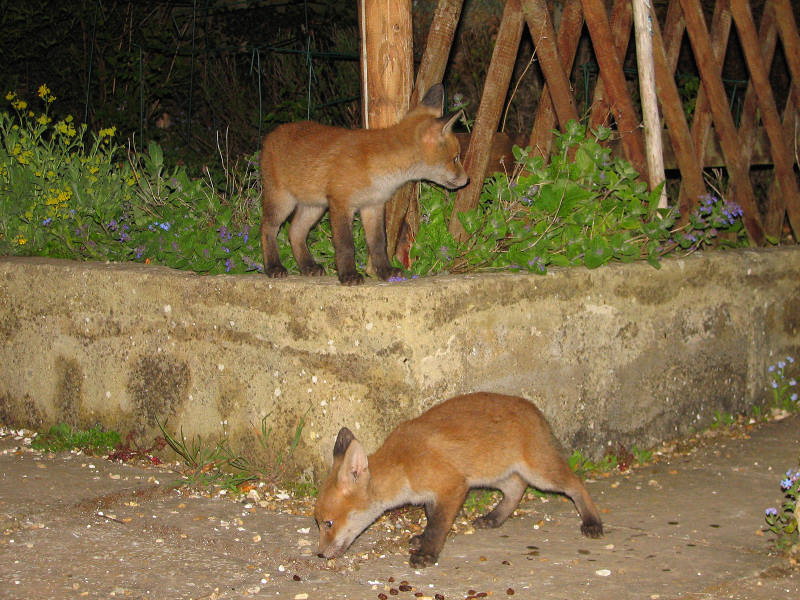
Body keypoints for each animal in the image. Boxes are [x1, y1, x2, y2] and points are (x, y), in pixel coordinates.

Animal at [259, 83, 469, 285]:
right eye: (456, 158)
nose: (467, 180)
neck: (381, 171)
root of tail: (273, 132)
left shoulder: (373, 205)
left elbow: (378, 243)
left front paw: (385, 272)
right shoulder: (341, 204)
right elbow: (345, 245)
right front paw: (348, 275)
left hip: (314, 207)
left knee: (294, 231)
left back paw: (307, 266)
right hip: (282, 202)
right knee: (267, 228)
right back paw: (273, 267)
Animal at [314, 392, 604, 568]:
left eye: (328, 523)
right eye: (318, 523)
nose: (320, 554)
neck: (404, 465)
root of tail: (533, 408)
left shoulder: (453, 486)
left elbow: (438, 525)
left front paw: (427, 553)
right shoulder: (434, 494)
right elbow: (431, 519)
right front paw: (422, 539)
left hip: (540, 474)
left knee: (575, 484)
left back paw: (592, 521)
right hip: (492, 474)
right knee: (516, 488)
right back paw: (495, 518)